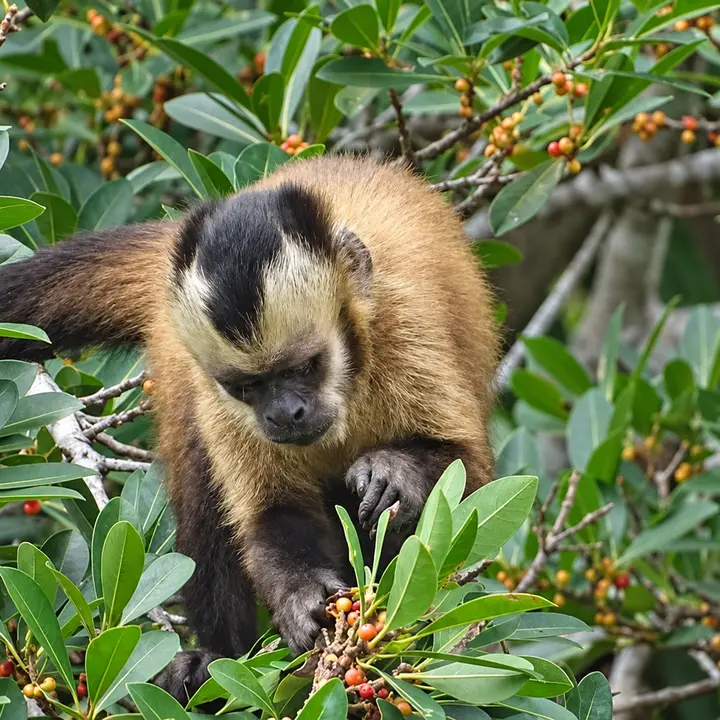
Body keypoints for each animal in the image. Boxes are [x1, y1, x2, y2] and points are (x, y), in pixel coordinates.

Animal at [0, 155, 499, 703]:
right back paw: (215, 657)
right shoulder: (215, 389)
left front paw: (395, 473)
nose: (284, 414)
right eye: (249, 386)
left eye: (304, 368)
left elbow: (467, 472)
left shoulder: (404, 324)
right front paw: (299, 597)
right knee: (202, 480)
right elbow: (272, 514)